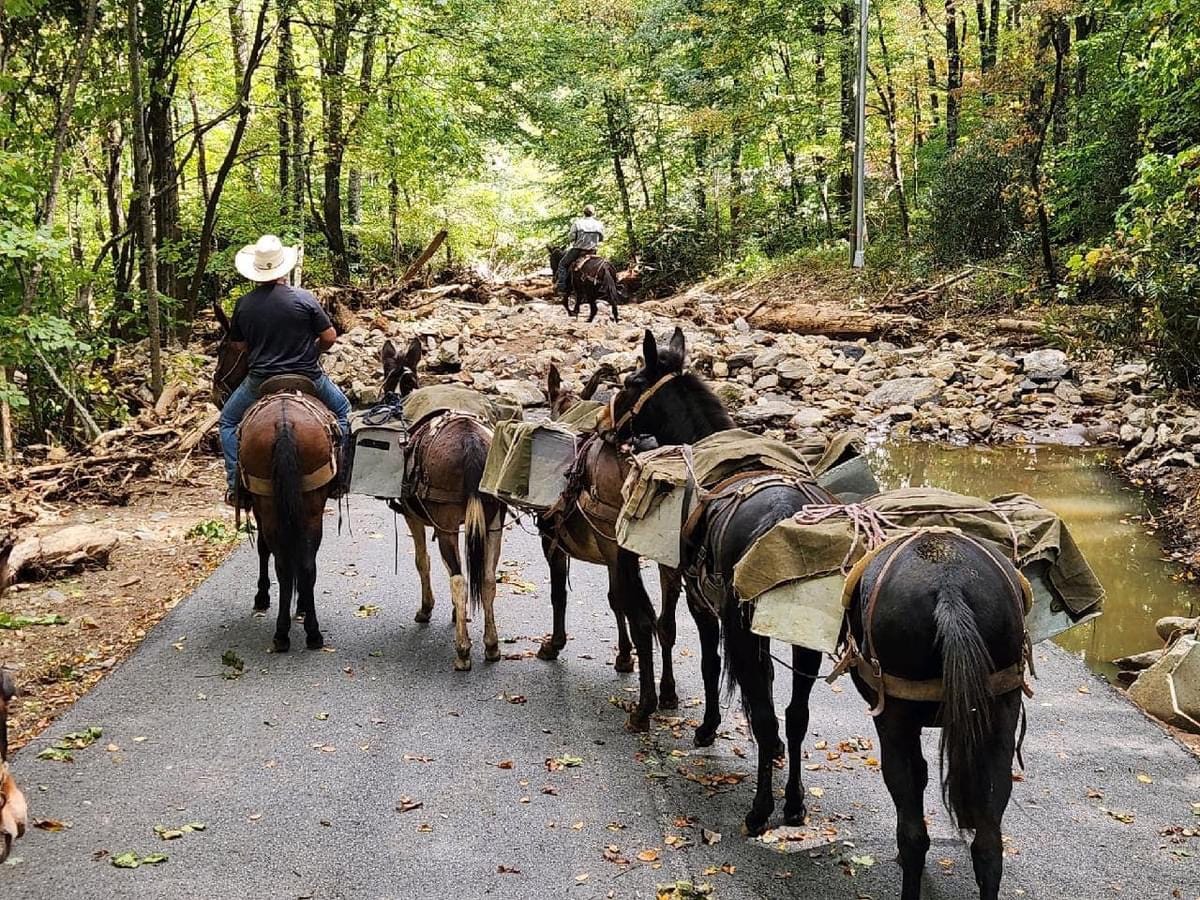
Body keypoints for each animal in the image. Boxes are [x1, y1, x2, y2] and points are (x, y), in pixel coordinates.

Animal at [236, 391, 338, 652]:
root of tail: (284, 422)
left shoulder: (260, 507)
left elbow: (263, 548)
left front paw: (262, 597)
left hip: (269, 504)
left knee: (282, 563)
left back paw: (282, 633)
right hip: (310, 505)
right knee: (305, 565)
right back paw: (312, 632)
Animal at [376, 338, 504, 672]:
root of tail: (471, 443)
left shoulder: (415, 518)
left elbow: (423, 562)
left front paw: (427, 609)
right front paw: (456, 615)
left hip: (446, 526)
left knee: (459, 580)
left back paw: (462, 651)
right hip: (493, 522)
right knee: (487, 579)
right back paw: (491, 645)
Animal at [537, 362, 681, 729]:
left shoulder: (554, 543)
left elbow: (559, 594)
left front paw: (554, 644)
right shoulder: (610, 555)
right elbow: (616, 600)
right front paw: (624, 656)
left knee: (645, 621)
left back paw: (644, 707)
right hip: (665, 558)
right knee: (665, 622)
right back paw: (668, 692)